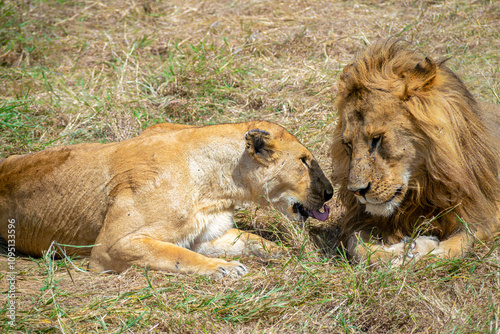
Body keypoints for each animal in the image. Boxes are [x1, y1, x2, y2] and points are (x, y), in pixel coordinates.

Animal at [2, 121, 336, 278]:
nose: (331, 193)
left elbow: (249, 239)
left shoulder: (206, 234)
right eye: (305, 161)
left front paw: (279, 251)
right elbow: (176, 255)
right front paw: (223, 268)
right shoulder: (109, 246)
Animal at [332, 38, 500, 264]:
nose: (356, 191)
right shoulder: (360, 220)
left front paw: (425, 249)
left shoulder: (481, 211)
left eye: (376, 139)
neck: (421, 189)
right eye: (348, 144)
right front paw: (398, 251)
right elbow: (358, 247)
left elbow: (460, 244)